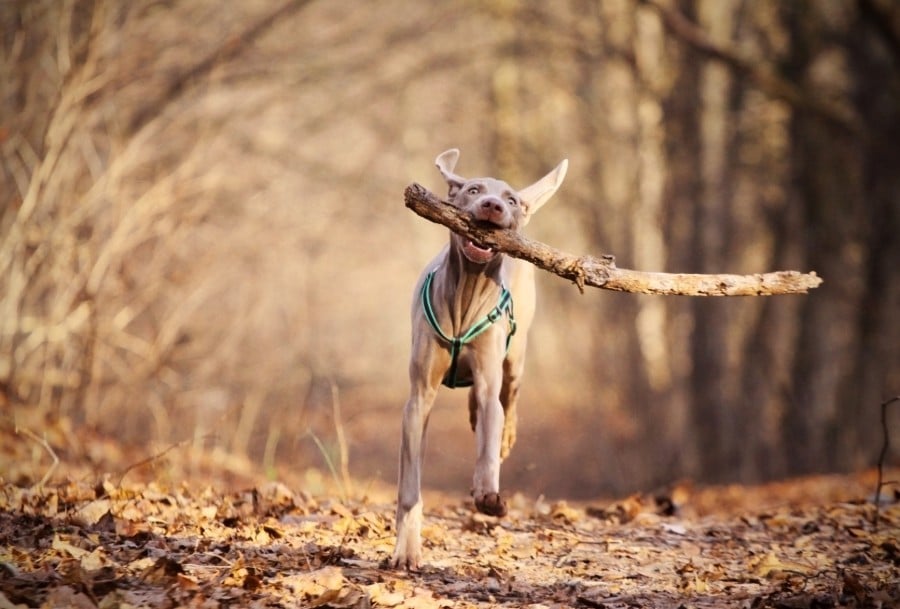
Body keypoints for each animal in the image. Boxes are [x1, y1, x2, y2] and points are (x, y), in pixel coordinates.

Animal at [390, 150, 568, 568]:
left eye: (511, 200)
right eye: (473, 189)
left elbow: (488, 437)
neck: (467, 293)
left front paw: (488, 497)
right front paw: (407, 548)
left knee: (509, 397)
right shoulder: (418, 399)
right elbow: (410, 487)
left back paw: (506, 435)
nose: (493, 206)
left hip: (516, 357)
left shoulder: (490, 380)